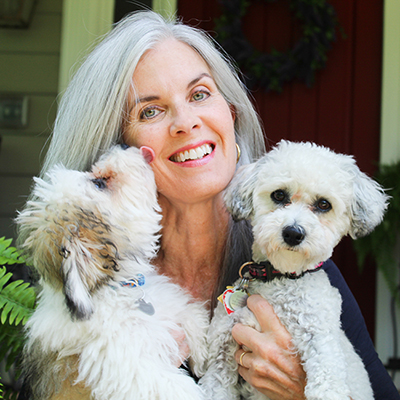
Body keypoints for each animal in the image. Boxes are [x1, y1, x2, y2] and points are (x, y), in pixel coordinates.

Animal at [16, 145, 209, 400]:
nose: (123, 146)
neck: (116, 286)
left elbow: (191, 314)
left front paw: (203, 356)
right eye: (99, 183)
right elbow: (178, 390)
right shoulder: (133, 371)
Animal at [200, 141, 388, 400]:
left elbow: (327, 384)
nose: (293, 233)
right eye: (279, 195)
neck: (280, 280)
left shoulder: (321, 341)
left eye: (323, 204)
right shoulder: (221, 354)